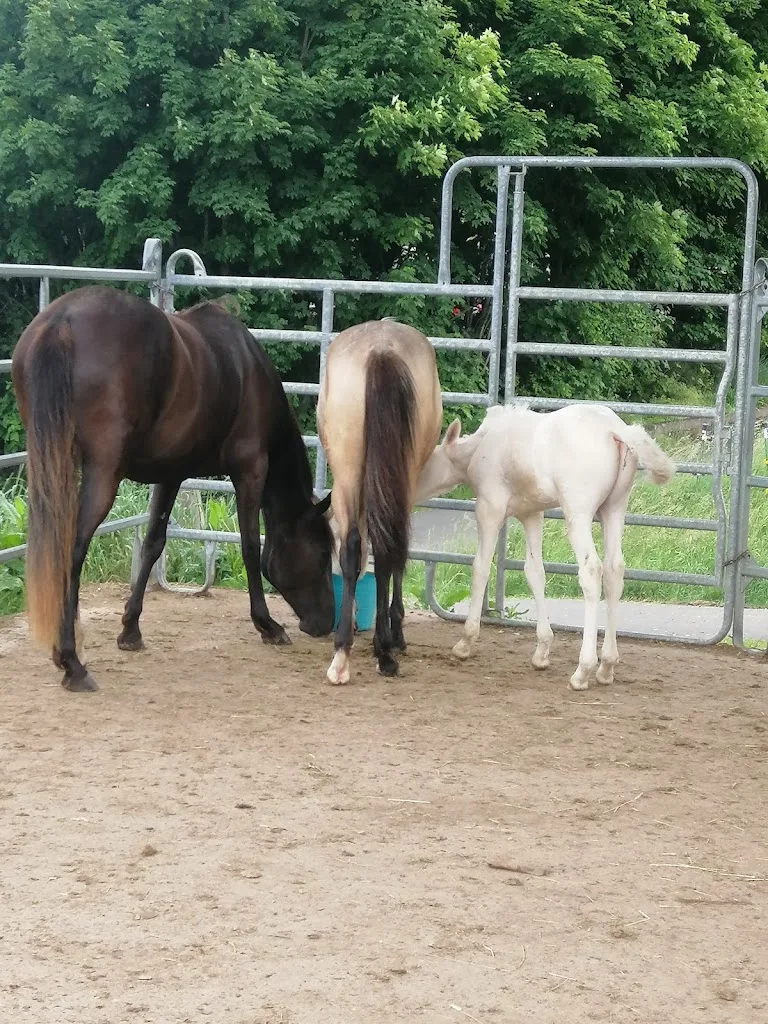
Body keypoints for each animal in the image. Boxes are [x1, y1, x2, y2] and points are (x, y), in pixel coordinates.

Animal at [11, 285, 335, 692]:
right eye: (322, 555)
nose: (326, 623)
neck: (246, 368)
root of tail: (61, 321)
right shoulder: (249, 470)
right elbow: (249, 546)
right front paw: (267, 625)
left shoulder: (171, 475)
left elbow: (153, 544)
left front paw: (130, 630)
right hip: (101, 475)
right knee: (71, 551)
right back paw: (72, 662)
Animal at [317, 320, 442, 684]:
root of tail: (381, 349)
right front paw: (393, 634)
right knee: (382, 549)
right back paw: (384, 650)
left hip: (347, 474)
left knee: (356, 546)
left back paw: (343, 654)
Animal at [414, 403, 675, 689]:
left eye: (426, 463)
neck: (480, 446)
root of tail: (615, 429)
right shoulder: (531, 514)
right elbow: (534, 572)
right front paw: (542, 651)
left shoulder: (489, 508)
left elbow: (480, 568)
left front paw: (465, 642)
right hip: (614, 509)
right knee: (614, 570)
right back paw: (606, 666)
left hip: (578, 513)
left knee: (591, 571)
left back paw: (583, 670)